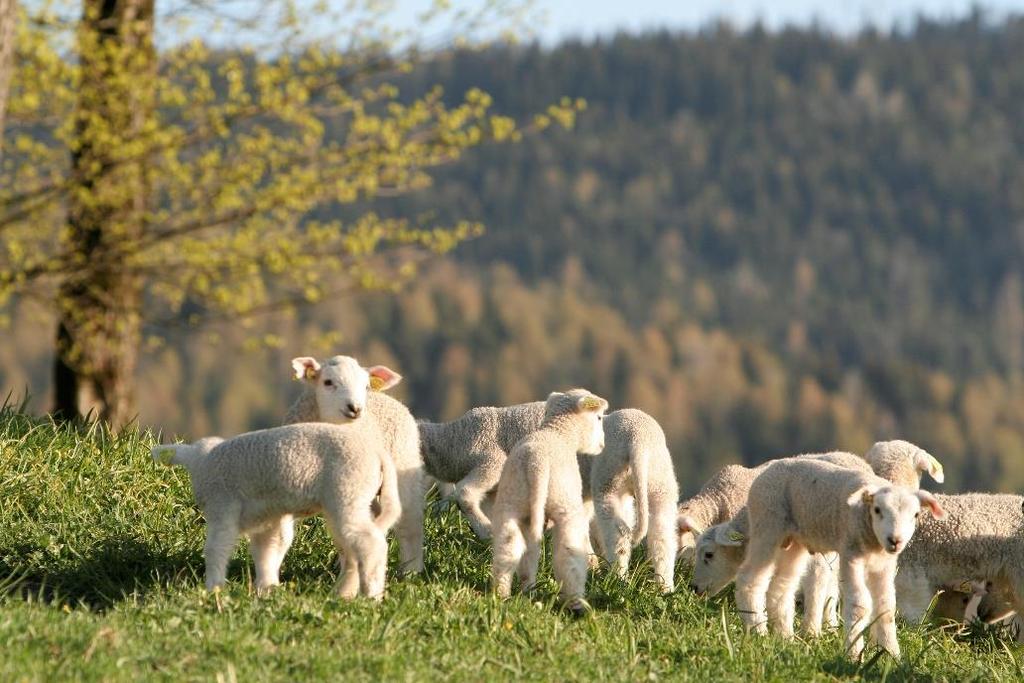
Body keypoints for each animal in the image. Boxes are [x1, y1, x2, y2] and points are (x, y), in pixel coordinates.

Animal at [151, 421, 399, 598]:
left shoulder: (222, 503)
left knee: (370, 544)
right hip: (352, 499)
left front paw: (214, 588)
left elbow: (217, 547)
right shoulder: (268, 517)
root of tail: (379, 455)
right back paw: (343, 594)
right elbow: (269, 548)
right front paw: (267, 589)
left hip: (348, 488)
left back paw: (370, 597)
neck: (202, 461)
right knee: (352, 549)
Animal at [284, 356, 423, 573]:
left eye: (366, 385)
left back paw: (411, 570)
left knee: (410, 522)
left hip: (405, 467)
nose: (355, 408)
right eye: (328, 382)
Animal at [489, 387, 606, 618]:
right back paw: (576, 603)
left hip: (511, 501)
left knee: (509, 546)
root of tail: (536, 462)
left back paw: (504, 593)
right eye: (598, 417)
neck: (558, 432)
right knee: (567, 555)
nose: (603, 444)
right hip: (564, 506)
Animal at [737, 456, 942, 659]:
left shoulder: (885, 565)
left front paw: (890, 654)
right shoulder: (851, 554)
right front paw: (854, 653)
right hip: (767, 523)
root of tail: (767, 469)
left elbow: (887, 607)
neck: (874, 544)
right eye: (877, 510)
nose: (895, 541)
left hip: (794, 542)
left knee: (781, 588)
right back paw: (758, 631)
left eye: (916, 514)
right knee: (750, 579)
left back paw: (786, 638)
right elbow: (859, 605)